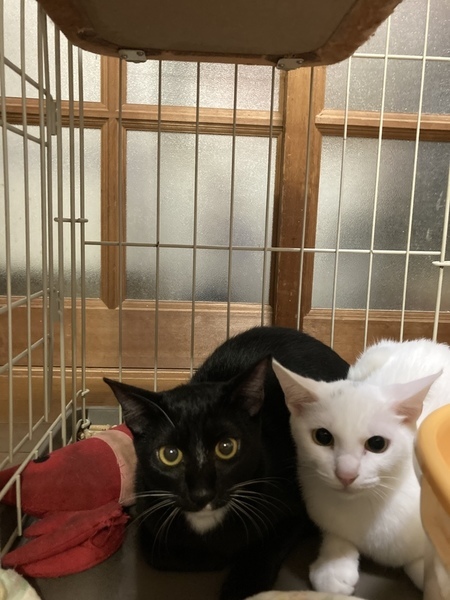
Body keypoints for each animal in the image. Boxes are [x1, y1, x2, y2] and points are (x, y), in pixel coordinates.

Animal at [104, 325, 349, 600]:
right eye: (170, 454)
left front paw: (240, 584)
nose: (202, 493)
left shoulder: (296, 507)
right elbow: (165, 554)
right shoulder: (148, 513)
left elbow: (264, 546)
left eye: (226, 447)